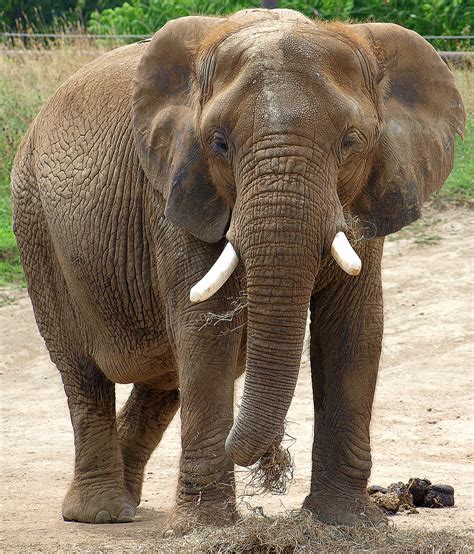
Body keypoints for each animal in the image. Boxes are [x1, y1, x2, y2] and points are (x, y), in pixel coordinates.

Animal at [11, 7, 466, 532]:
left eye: (351, 142)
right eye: (220, 143)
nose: (269, 459)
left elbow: (352, 329)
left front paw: (347, 524)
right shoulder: (175, 189)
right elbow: (206, 333)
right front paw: (206, 528)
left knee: (164, 381)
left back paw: (128, 500)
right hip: (35, 224)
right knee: (83, 373)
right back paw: (102, 514)